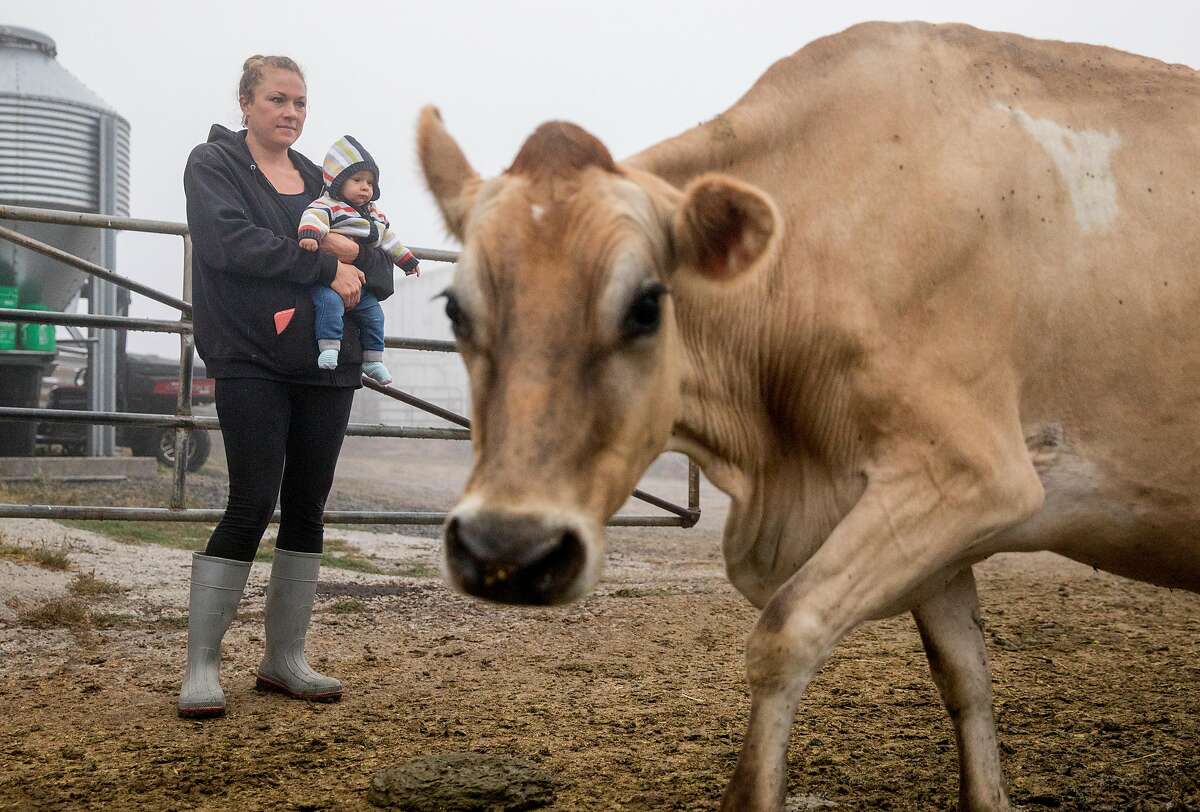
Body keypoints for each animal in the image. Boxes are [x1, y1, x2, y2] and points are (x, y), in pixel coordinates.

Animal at [415, 20, 1200, 810]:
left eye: (645, 305)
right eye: (454, 309)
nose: (506, 550)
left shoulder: (974, 474)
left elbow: (785, 631)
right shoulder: (938, 539)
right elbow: (966, 678)